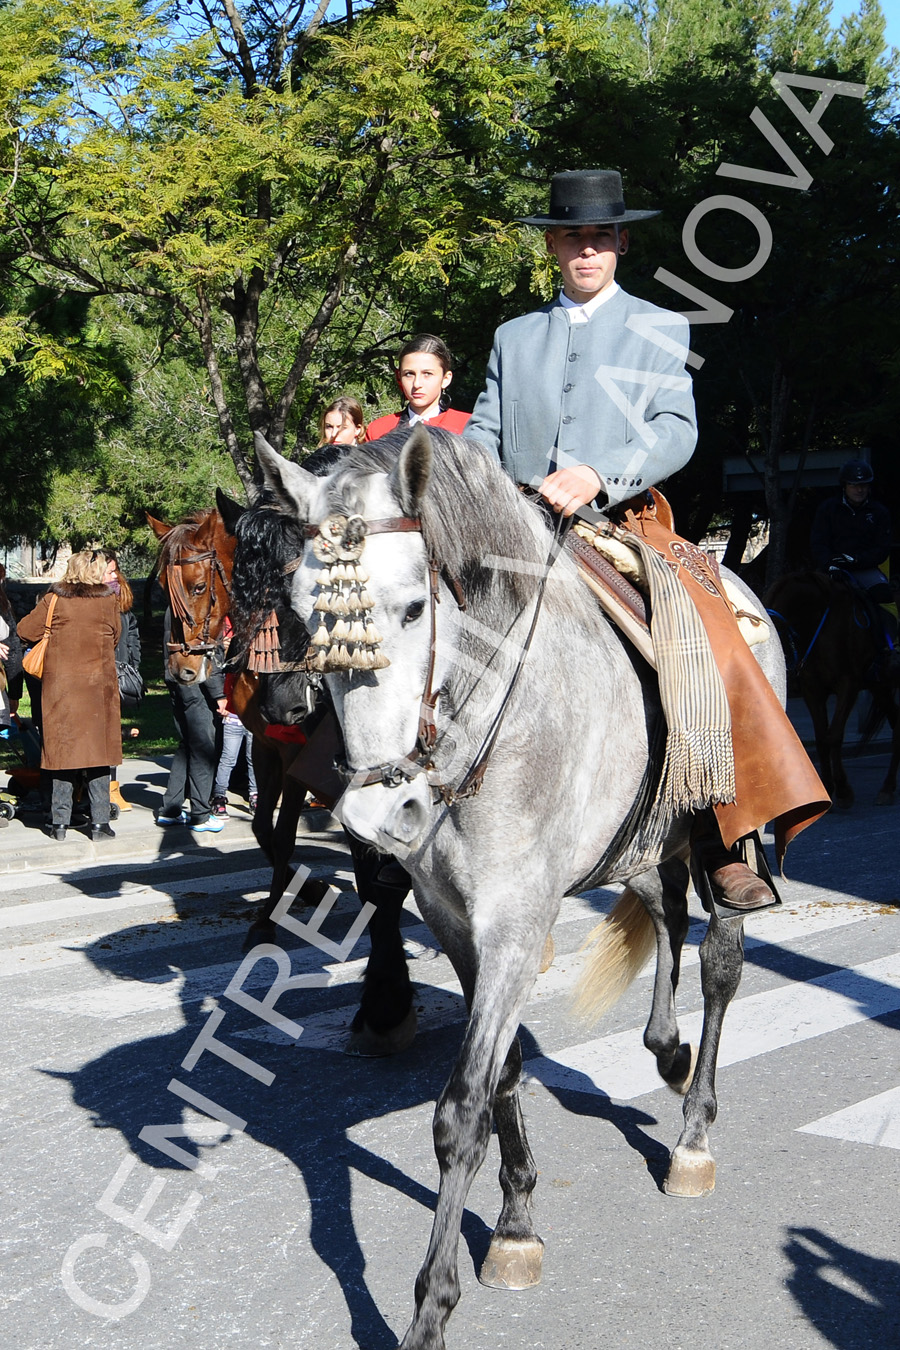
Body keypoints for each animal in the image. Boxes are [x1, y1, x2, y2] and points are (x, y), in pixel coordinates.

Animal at [259, 423, 788, 1350]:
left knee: (720, 961)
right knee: (666, 913)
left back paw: (693, 1135)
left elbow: (461, 1109)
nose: (378, 812)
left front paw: (430, 1309)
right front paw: (514, 1226)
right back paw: (668, 1049)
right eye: (298, 612)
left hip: (721, 839)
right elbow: (502, 1073)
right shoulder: (459, 927)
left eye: (413, 607)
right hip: (647, 839)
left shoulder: (513, 924)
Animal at [761, 567, 900, 799]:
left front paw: (843, 790)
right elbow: (821, 738)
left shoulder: (848, 686)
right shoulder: (812, 690)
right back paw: (888, 787)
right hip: (880, 686)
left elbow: (834, 735)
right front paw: (827, 785)